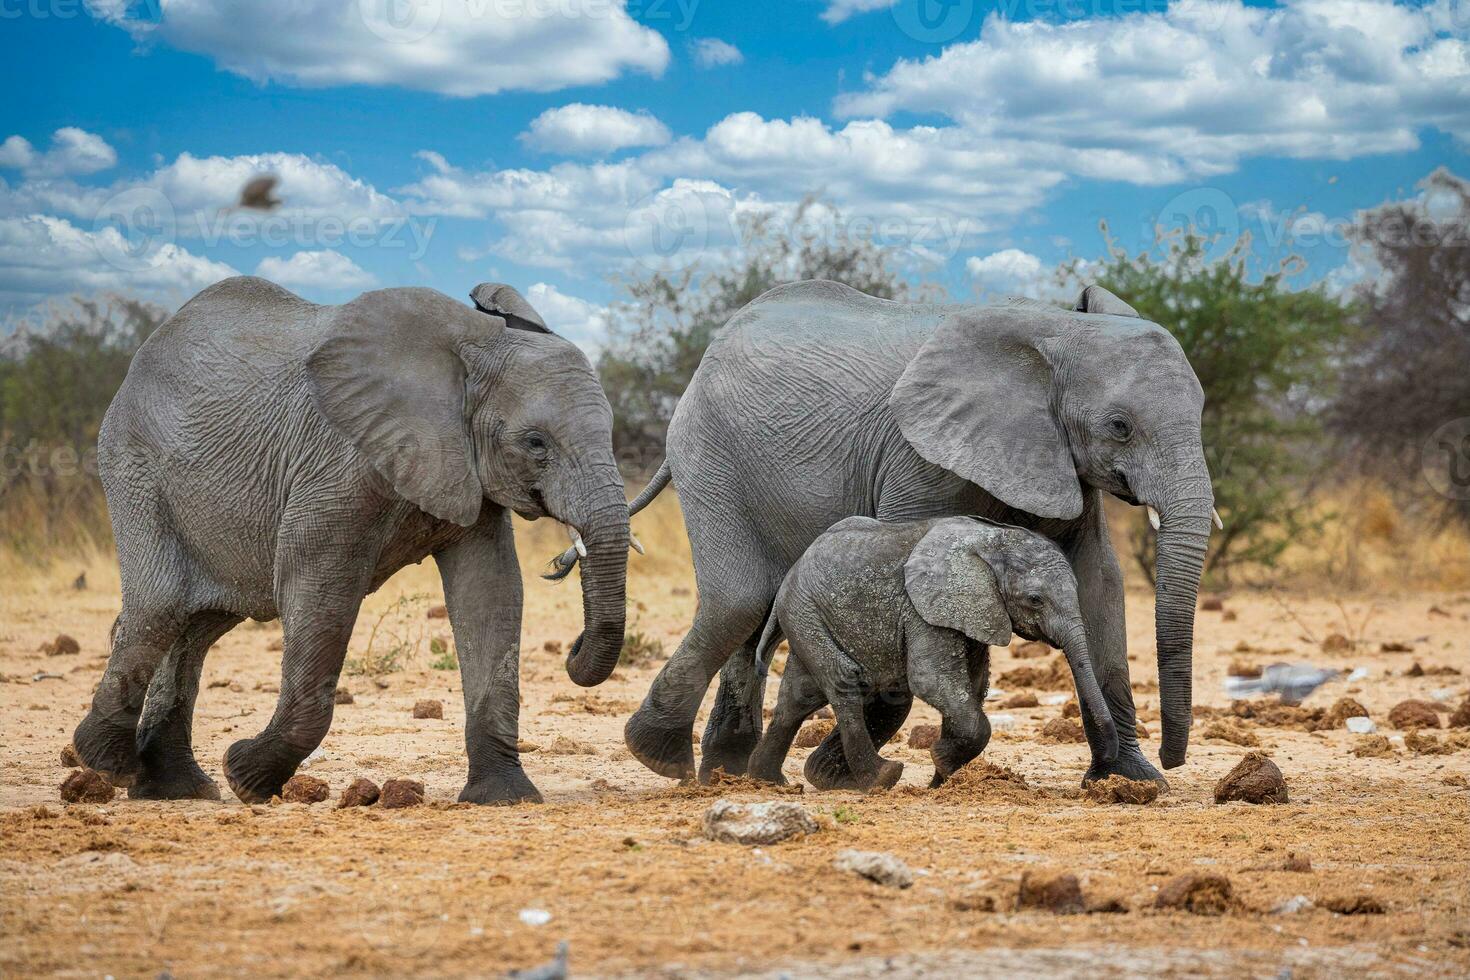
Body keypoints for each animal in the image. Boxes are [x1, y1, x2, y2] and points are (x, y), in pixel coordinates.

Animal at [74, 274, 626, 805]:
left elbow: (490, 594)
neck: (472, 345)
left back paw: (175, 788)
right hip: (135, 464)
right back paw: (109, 765)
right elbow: (317, 587)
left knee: (197, 625)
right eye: (535, 443)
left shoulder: (464, 469)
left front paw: (505, 798)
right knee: (161, 606)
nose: (573, 649)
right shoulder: (337, 461)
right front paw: (247, 778)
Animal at [752, 517, 1117, 793]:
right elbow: (931, 680)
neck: (992, 542)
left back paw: (773, 781)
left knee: (799, 697)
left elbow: (973, 686)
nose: (1097, 776)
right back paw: (880, 778)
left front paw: (942, 782)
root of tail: (793, 570)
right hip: (804, 612)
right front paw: (941, 760)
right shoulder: (923, 609)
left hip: (806, 617)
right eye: (1035, 599)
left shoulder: (972, 612)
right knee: (844, 681)